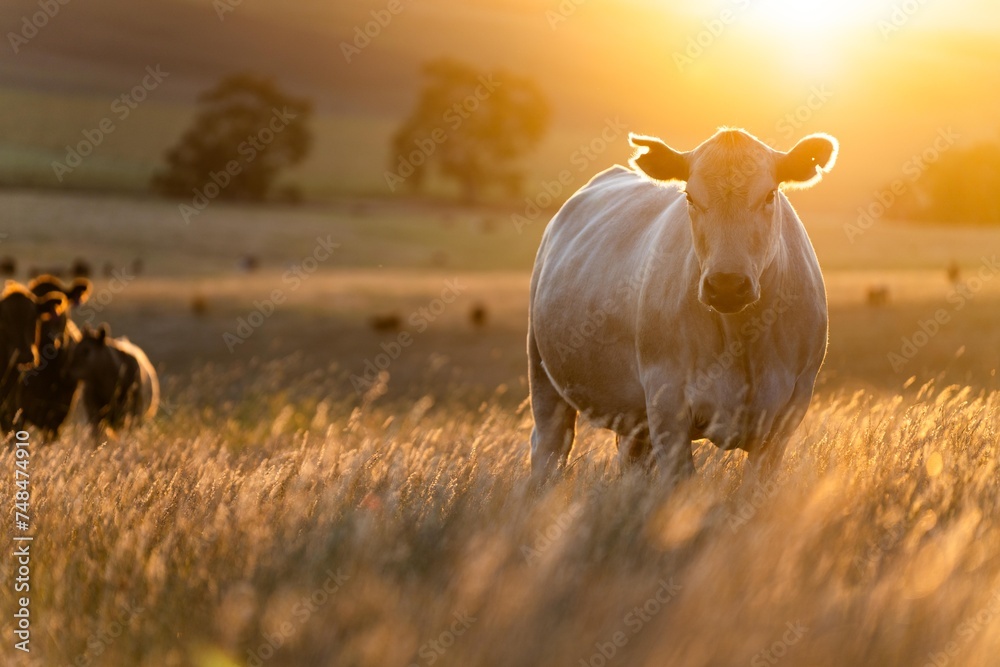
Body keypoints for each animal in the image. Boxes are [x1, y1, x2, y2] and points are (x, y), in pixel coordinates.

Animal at [527, 128, 836, 480]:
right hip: (543, 372)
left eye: (770, 195)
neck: (741, 341)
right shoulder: (667, 404)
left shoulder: (786, 415)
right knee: (549, 447)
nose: (727, 284)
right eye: (689, 197)